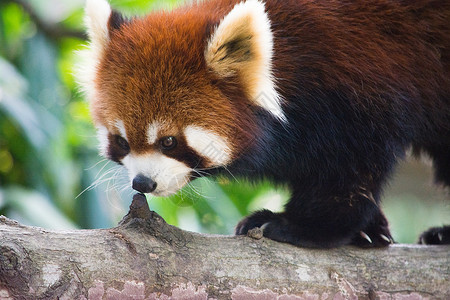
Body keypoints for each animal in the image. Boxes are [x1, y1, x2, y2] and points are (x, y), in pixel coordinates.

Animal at [78, 0, 450, 247]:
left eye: (168, 141)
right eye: (122, 141)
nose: (143, 183)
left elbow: (349, 174)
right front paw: (369, 229)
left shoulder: (360, 90)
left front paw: (301, 226)